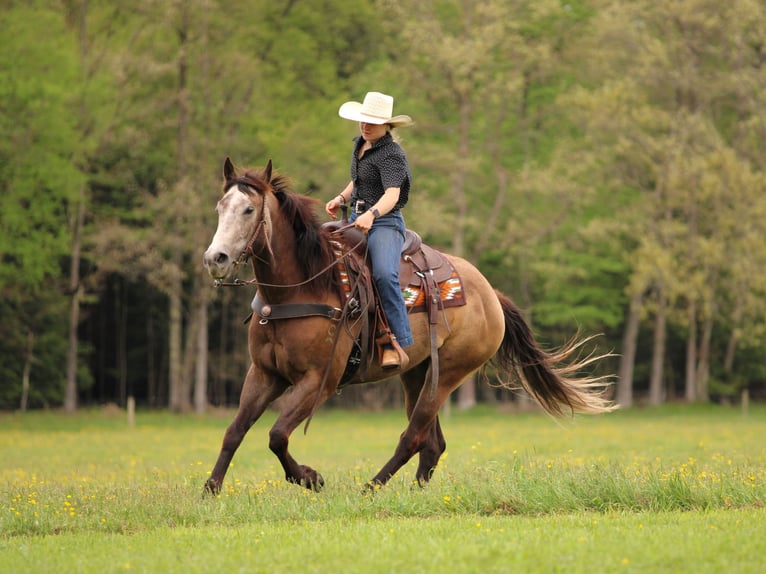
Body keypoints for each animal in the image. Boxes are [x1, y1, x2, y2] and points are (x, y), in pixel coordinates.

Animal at [202, 158, 615, 494]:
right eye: (220, 207)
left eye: (249, 209)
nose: (215, 259)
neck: (304, 285)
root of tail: (491, 295)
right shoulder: (263, 374)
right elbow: (234, 431)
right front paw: (211, 490)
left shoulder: (319, 380)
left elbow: (277, 434)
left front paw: (310, 478)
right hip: (417, 373)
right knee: (432, 443)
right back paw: (415, 493)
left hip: (448, 374)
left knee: (414, 437)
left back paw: (370, 488)